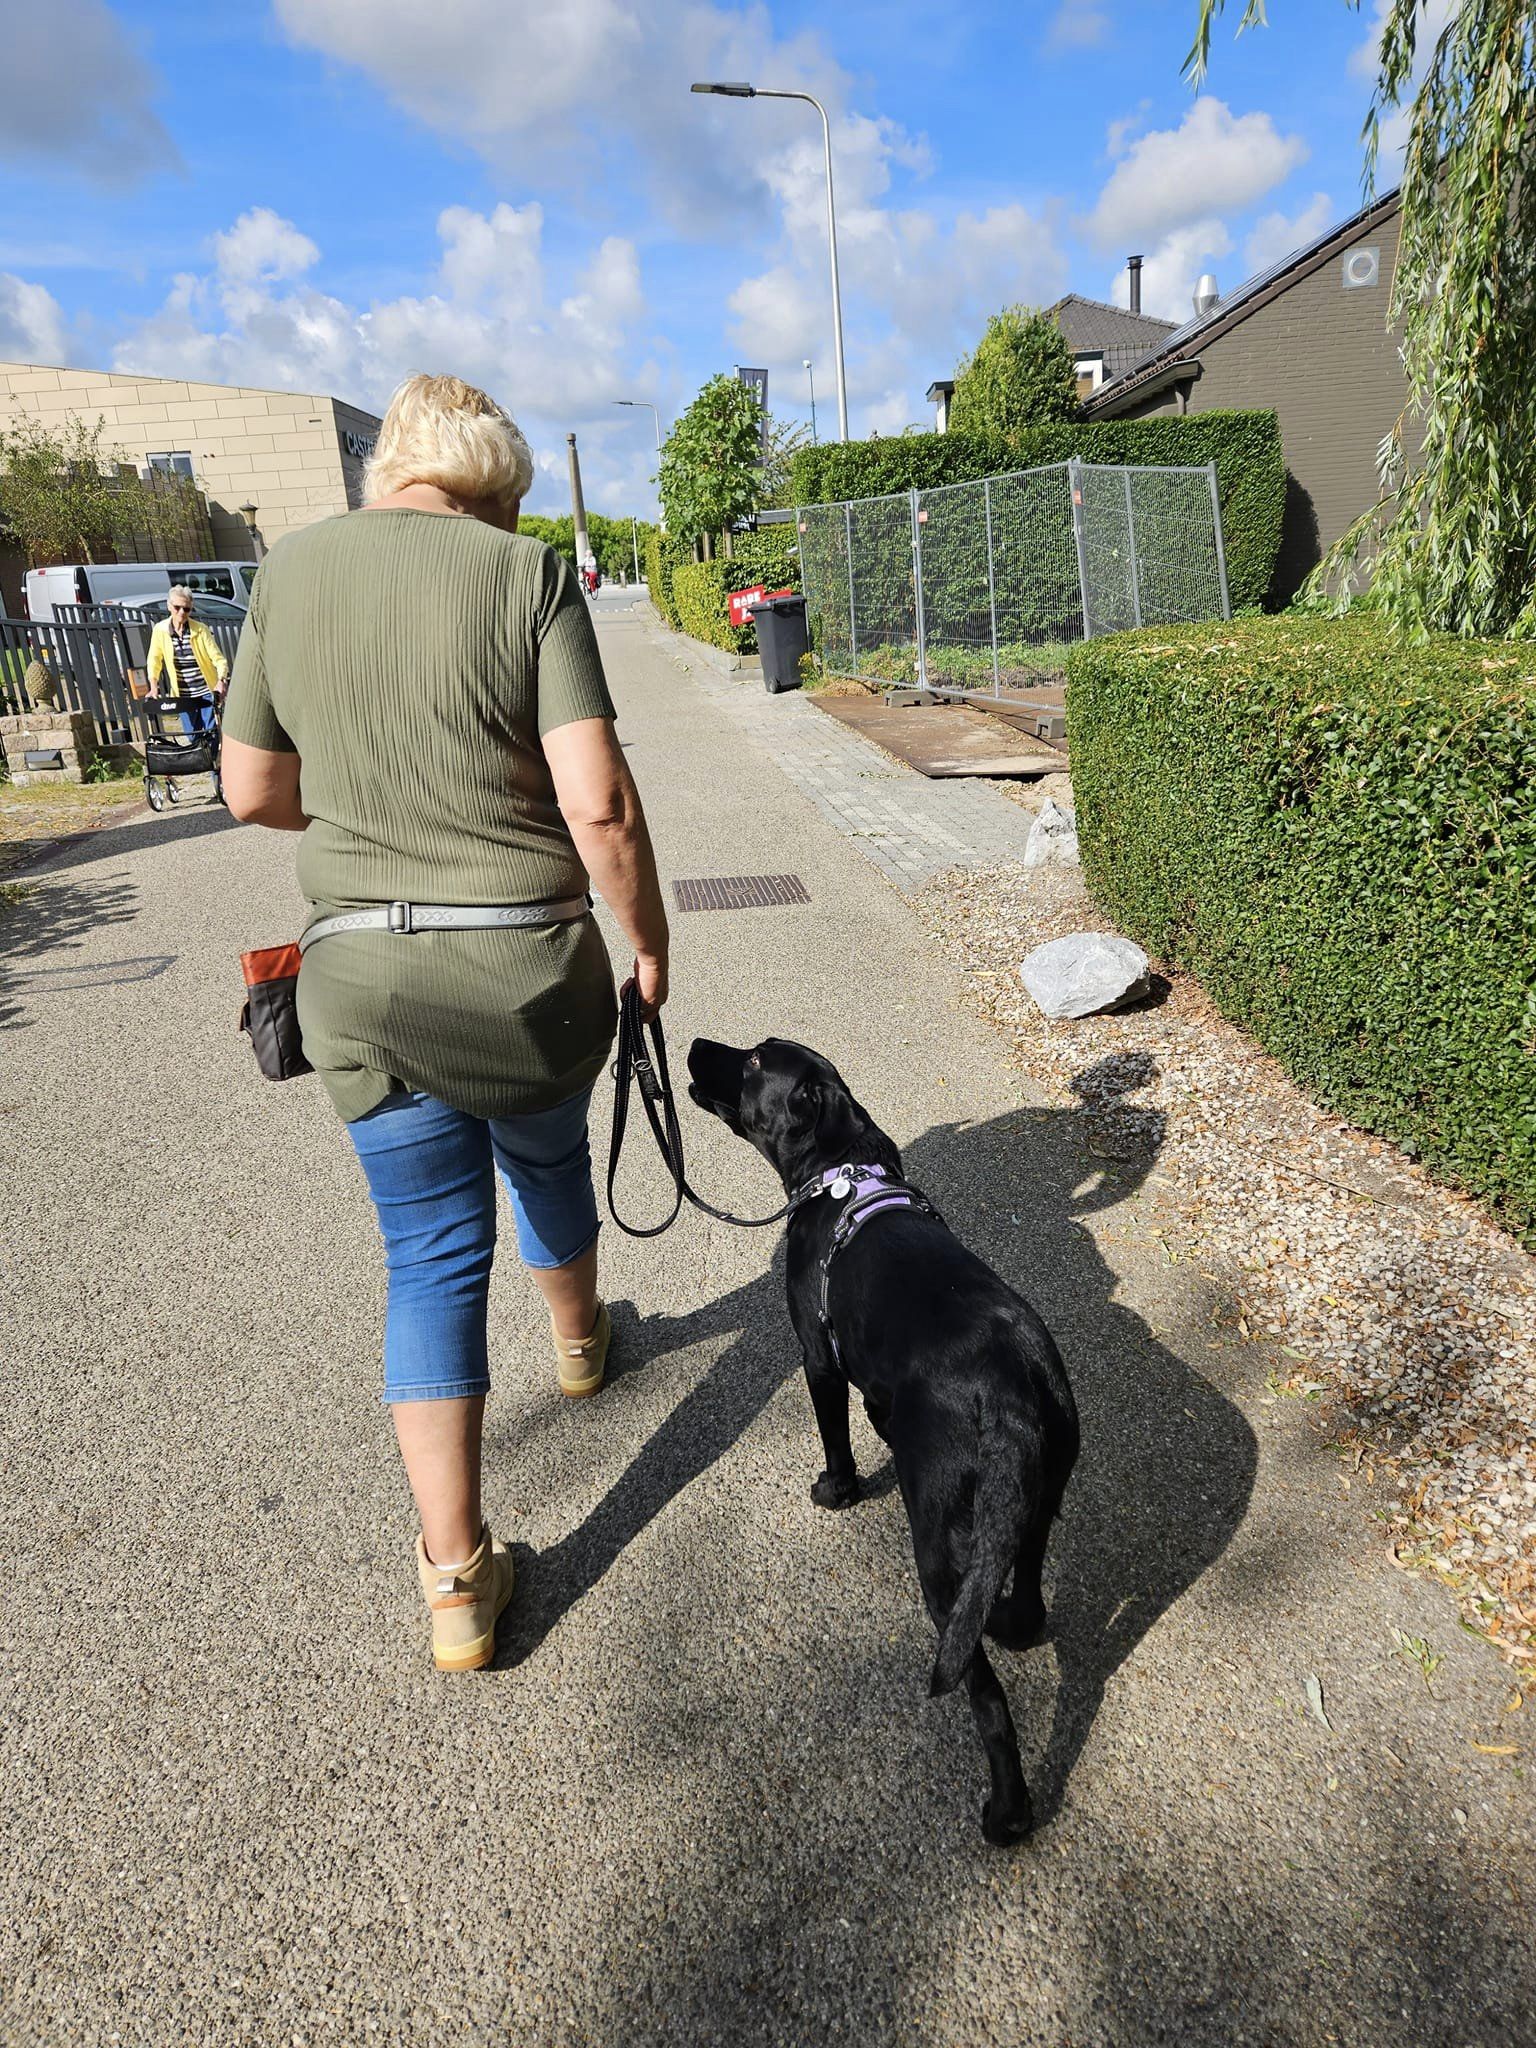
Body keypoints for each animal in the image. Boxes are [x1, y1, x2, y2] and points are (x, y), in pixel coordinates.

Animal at [692, 1032, 1073, 1851]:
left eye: (752, 1062)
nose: (697, 1041)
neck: (842, 1172)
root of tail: (1011, 1392)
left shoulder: (817, 1354)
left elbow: (833, 1435)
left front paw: (835, 1490)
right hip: (1035, 1499)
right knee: (1027, 1592)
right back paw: (1014, 1623)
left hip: (939, 1548)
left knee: (985, 1695)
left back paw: (1007, 1811)